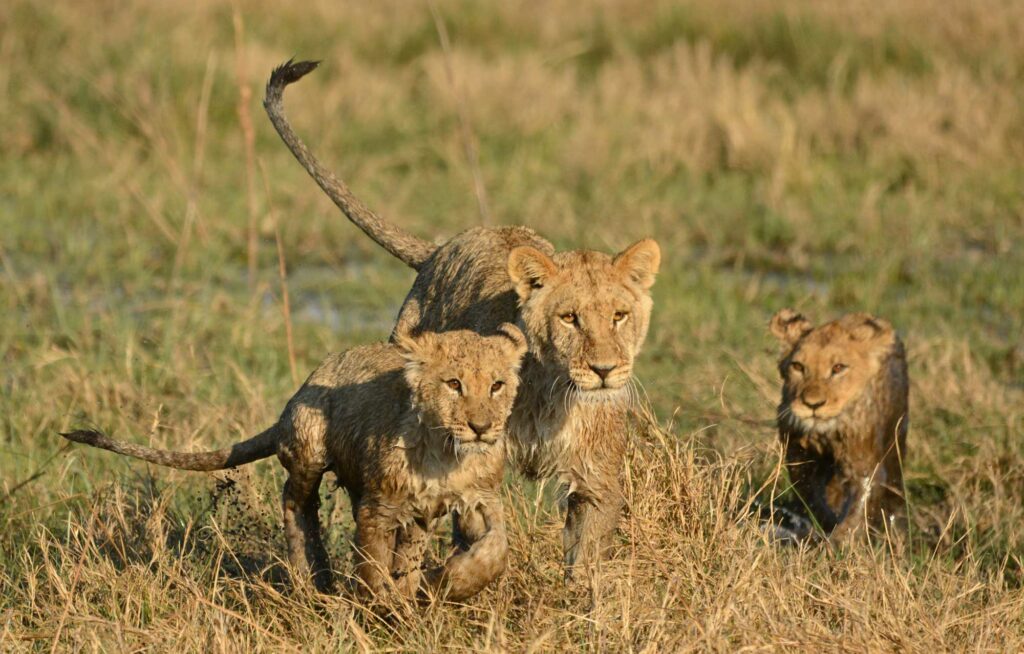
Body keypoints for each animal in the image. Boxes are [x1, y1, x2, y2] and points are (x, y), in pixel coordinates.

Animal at [63, 324, 528, 601]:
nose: (482, 427)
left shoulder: (480, 496)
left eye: (497, 385)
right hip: (310, 445)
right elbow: (373, 562)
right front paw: (385, 611)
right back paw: (312, 576)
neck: (447, 454)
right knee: (296, 501)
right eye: (454, 384)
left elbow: (496, 552)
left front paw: (442, 583)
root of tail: (302, 387)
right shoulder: (378, 505)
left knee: (407, 538)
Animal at [265, 60, 661, 579]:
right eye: (569, 318)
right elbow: (476, 539)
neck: (553, 396)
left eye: (619, 316)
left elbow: (586, 554)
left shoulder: (595, 475)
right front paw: (450, 577)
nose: (604, 370)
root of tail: (440, 247)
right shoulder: (467, 461)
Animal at [769, 308, 909, 541]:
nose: (812, 404)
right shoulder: (799, 455)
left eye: (838, 368)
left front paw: (840, 541)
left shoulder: (864, 461)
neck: (827, 433)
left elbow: (862, 501)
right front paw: (824, 521)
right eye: (798, 366)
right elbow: (808, 492)